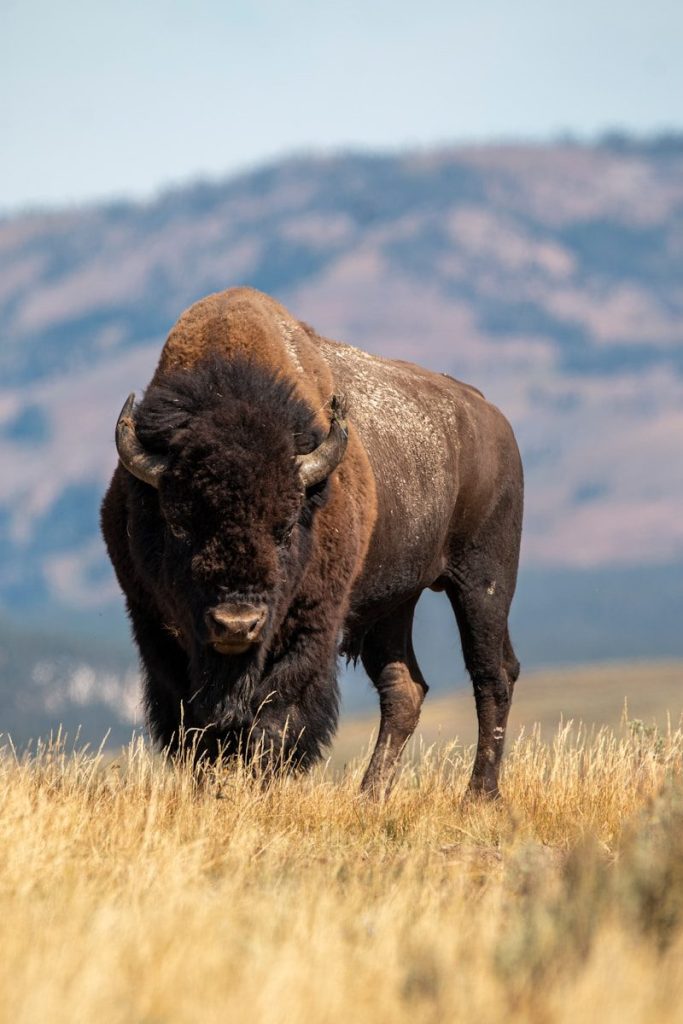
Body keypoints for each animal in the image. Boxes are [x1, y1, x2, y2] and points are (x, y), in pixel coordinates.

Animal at [101, 287, 523, 798]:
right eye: (179, 525)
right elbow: (192, 725)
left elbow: (276, 715)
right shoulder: (154, 624)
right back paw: (369, 795)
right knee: (404, 689)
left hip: (483, 582)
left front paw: (261, 788)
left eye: (284, 527)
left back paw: (478, 795)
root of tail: (491, 416)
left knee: (491, 675)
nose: (236, 624)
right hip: (392, 604)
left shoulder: (311, 624)